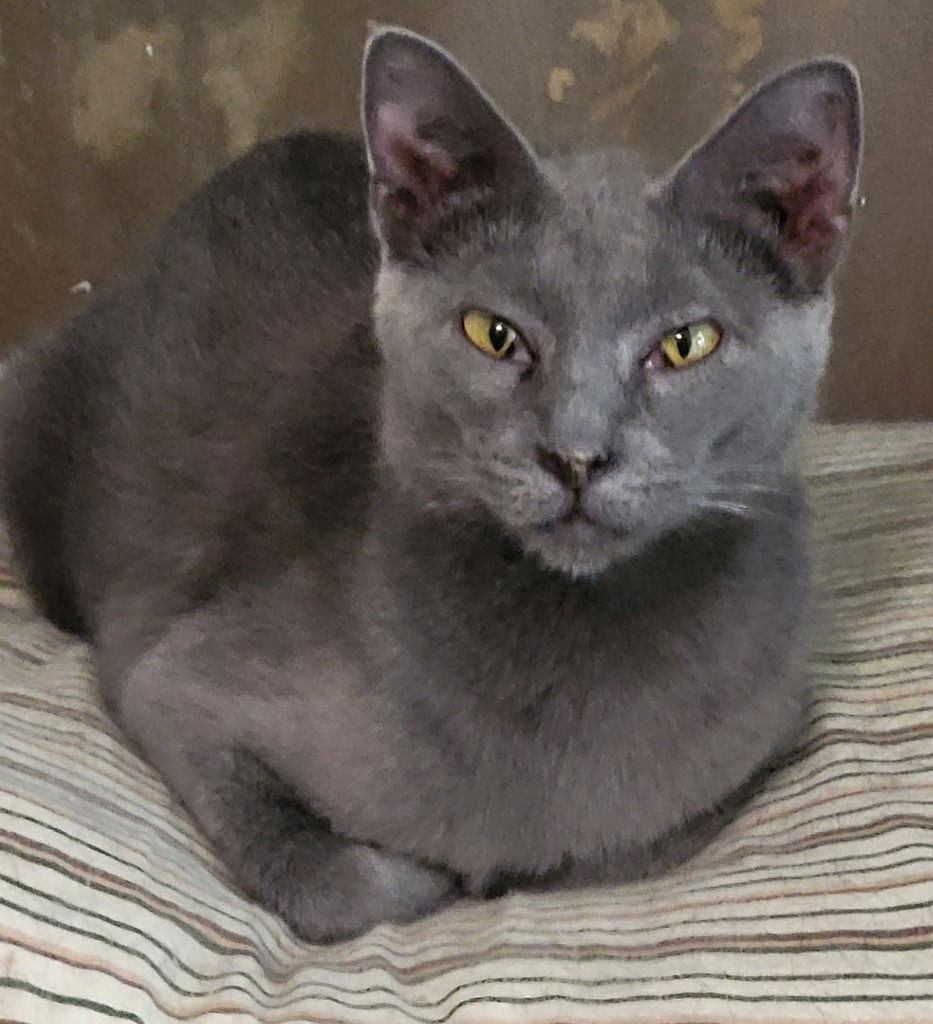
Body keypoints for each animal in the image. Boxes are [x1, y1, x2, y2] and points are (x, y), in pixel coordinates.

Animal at [0, 29, 860, 942]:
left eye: (686, 342)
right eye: (493, 335)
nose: (576, 455)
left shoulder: (754, 750)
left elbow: (613, 852)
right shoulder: (172, 684)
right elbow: (340, 884)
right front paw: (432, 877)